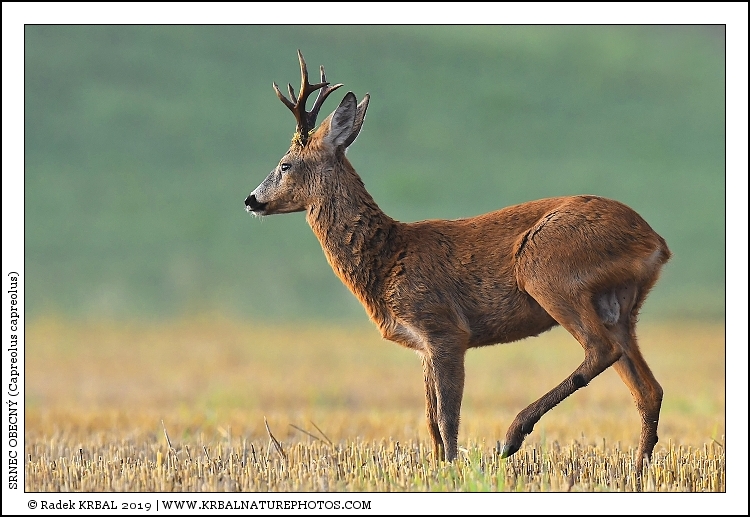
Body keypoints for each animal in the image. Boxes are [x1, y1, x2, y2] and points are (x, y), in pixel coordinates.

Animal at [244, 50, 671, 480]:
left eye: (285, 164)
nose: (250, 200)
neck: (386, 257)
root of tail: (656, 242)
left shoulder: (444, 328)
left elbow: (447, 416)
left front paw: (452, 468)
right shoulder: (422, 345)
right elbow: (430, 418)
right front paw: (435, 468)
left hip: (547, 270)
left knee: (601, 350)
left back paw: (511, 437)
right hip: (617, 306)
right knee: (648, 389)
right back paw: (636, 471)